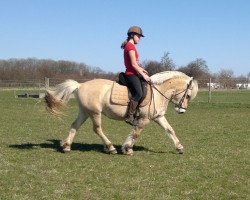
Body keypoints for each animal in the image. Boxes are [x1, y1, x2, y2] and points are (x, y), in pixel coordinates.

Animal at [44, 71, 197, 155]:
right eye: (188, 95)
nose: (182, 110)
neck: (158, 93)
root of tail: (80, 85)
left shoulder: (158, 117)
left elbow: (170, 130)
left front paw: (179, 147)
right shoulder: (144, 120)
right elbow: (136, 134)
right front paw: (128, 149)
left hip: (85, 112)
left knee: (74, 126)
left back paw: (67, 146)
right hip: (95, 113)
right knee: (97, 129)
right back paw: (110, 147)